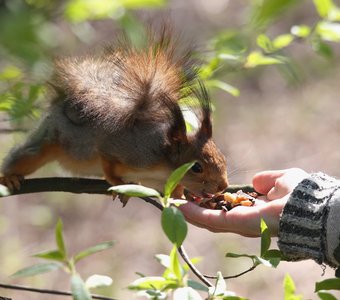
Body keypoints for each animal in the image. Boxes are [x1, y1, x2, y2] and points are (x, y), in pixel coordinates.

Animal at [0, 28, 228, 198]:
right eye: (196, 167)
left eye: (223, 157)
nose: (223, 187)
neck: (163, 163)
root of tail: (61, 103)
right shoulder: (126, 150)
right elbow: (107, 162)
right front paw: (117, 183)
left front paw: (181, 192)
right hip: (50, 139)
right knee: (25, 155)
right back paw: (8, 177)